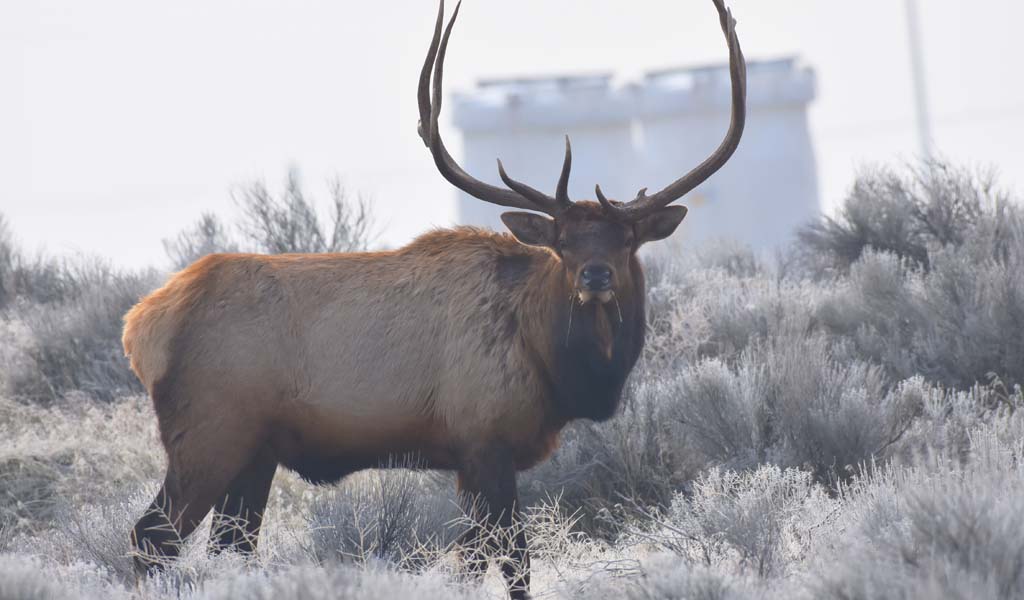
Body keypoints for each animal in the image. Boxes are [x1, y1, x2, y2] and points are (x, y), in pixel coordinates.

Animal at [123, 0, 745, 597]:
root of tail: (140, 327)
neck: (552, 363)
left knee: (231, 546)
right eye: (563, 244)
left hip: (255, 452)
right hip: (208, 432)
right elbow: (511, 560)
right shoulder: (484, 438)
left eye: (626, 240)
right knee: (152, 535)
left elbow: (473, 559)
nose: (595, 276)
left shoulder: (469, 458)